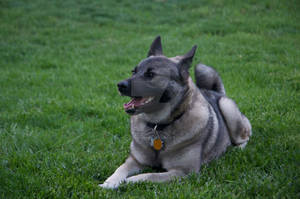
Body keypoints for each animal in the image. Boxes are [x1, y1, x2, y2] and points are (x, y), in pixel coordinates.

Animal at [99, 36, 252, 190]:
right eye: (133, 71)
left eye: (150, 74)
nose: (120, 85)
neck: (158, 126)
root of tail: (217, 92)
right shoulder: (135, 160)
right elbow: (120, 168)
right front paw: (109, 182)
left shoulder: (184, 172)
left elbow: (150, 176)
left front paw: (130, 181)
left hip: (227, 107)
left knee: (245, 138)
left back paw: (235, 149)